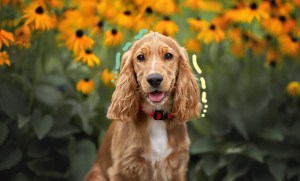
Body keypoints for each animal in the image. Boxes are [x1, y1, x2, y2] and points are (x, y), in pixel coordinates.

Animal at [85, 31, 202, 180]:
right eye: (140, 57)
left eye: (168, 55)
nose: (154, 79)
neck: (156, 116)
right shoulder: (122, 168)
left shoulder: (177, 165)